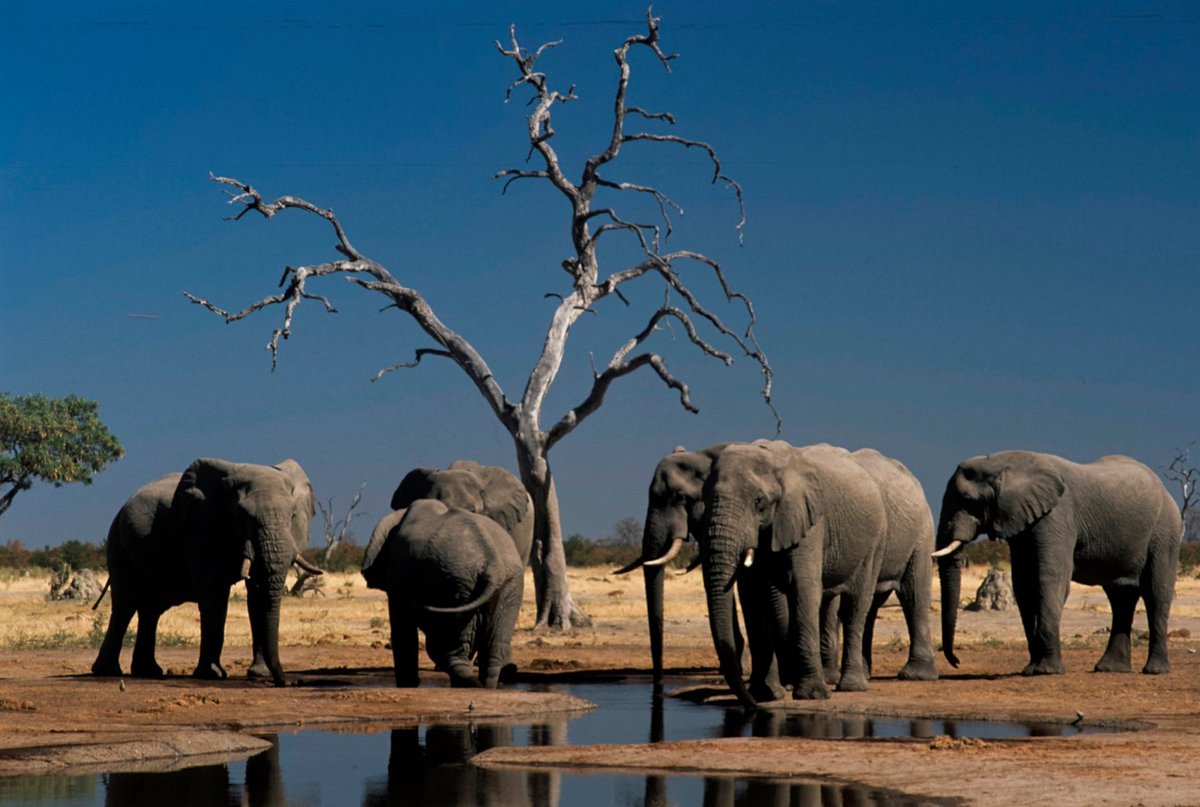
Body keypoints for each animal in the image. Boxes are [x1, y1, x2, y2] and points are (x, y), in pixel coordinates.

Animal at [91, 458, 320, 686]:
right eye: (243, 516)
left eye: (292, 516)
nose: (287, 682)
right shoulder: (202, 530)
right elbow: (215, 596)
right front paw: (212, 674)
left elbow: (257, 596)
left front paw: (259, 674)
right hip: (118, 542)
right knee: (126, 605)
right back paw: (107, 671)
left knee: (151, 609)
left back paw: (148, 671)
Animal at [361, 498, 525, 688]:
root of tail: (493, 564)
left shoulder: (397, 577)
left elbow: (403, 629)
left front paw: (408, 685)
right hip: (506, 584)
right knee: (491, 648)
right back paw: (482, 685)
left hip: (454, 585)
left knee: (446, 645)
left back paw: (470, 683)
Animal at [702, 441, 929, 706]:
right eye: (704, 499)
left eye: (759, 501)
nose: (749, 703)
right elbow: (752, 595)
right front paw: (765, 694)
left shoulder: (810, 522)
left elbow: (804, 587)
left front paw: (811, 695)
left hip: (886, 540)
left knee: (874, 604)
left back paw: (862, 685)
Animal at [933, 451, 1183, 676]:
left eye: (968, 501)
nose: (957, 662)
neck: (1000, 461)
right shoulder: (1023, 523)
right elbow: (1023, 585)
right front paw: (1030, 669)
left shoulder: (1057, 516)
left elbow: (1049, 579)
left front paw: (1046, 671)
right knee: (1120, 597)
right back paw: (1110, 669)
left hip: (1165, 533)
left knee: (1156, 593)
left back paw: (1155, 670)